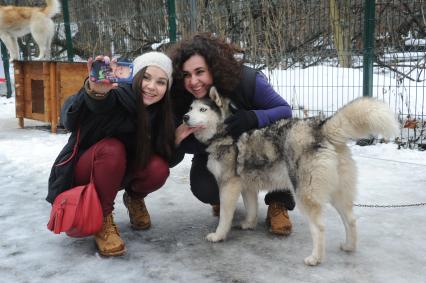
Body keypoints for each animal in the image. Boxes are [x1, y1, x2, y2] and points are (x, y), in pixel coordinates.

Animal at [184, 87, 400, 266]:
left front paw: (218, 235)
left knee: (319, 227)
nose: (185, 117)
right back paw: (349, 246)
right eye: (190, 107)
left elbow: (224, 216)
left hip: (303, 193)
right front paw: (249, 224)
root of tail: (319, 127)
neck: (225, 132)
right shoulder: (247, 186)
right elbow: (251, 208)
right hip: (338, 193)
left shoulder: (228, 185)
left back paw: (315, 258)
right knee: (351, 220)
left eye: (202, 109)